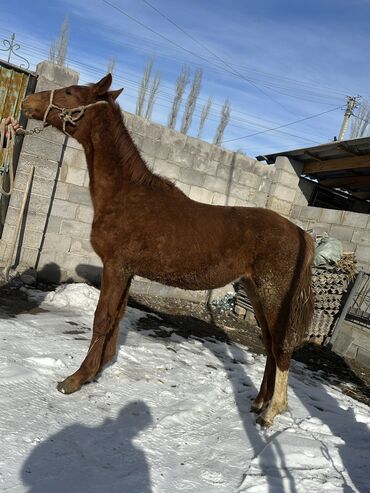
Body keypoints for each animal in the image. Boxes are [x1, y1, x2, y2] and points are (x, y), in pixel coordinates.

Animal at [21, 75, 314, 424]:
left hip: (273, 297)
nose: (28, 103)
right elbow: (117, 317)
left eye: (69, 92)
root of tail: (300, 232)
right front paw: (98, 370)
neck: (127, 193)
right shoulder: (127, 272)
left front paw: (77, 378)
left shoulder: (116, 266)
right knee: (269, 345)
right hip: (256, 294)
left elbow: (103, 318)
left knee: (281, 347)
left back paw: (272, 412)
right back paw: (258, 402)